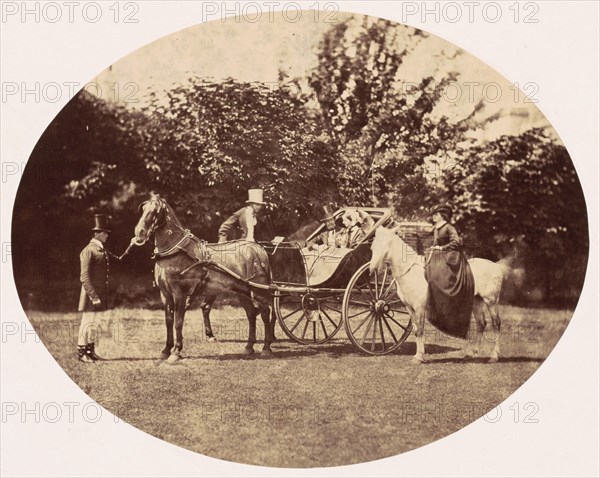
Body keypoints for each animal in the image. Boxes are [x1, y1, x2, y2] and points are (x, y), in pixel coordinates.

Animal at [133, 194, 274, 362]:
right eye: (143, 208)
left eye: (156, 211)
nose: (139, 232)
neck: (176, 250)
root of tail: (259, 248)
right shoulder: (165, 294)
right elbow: (168, 321)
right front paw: (166, 350)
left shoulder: (180, 293)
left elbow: (178, 321)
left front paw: (176, 351)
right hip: (243, 293)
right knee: (252, 314)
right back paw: (249, 347)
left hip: (258, 291)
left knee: (265, 312)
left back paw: (266, 348)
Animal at [370, 227, 506, 362]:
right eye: (372, 246)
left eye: (385, 244)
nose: (372, 269)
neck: (410, 271)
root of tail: (496, 266)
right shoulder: (409, 308)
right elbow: (415, 330)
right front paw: (418, 355)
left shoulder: (420, 308)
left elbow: (420, 330)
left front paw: (419, 357)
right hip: (477, 302)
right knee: (481, 324)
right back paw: (471, 353)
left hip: (491, 301)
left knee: (496, 324)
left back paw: (494, 356)